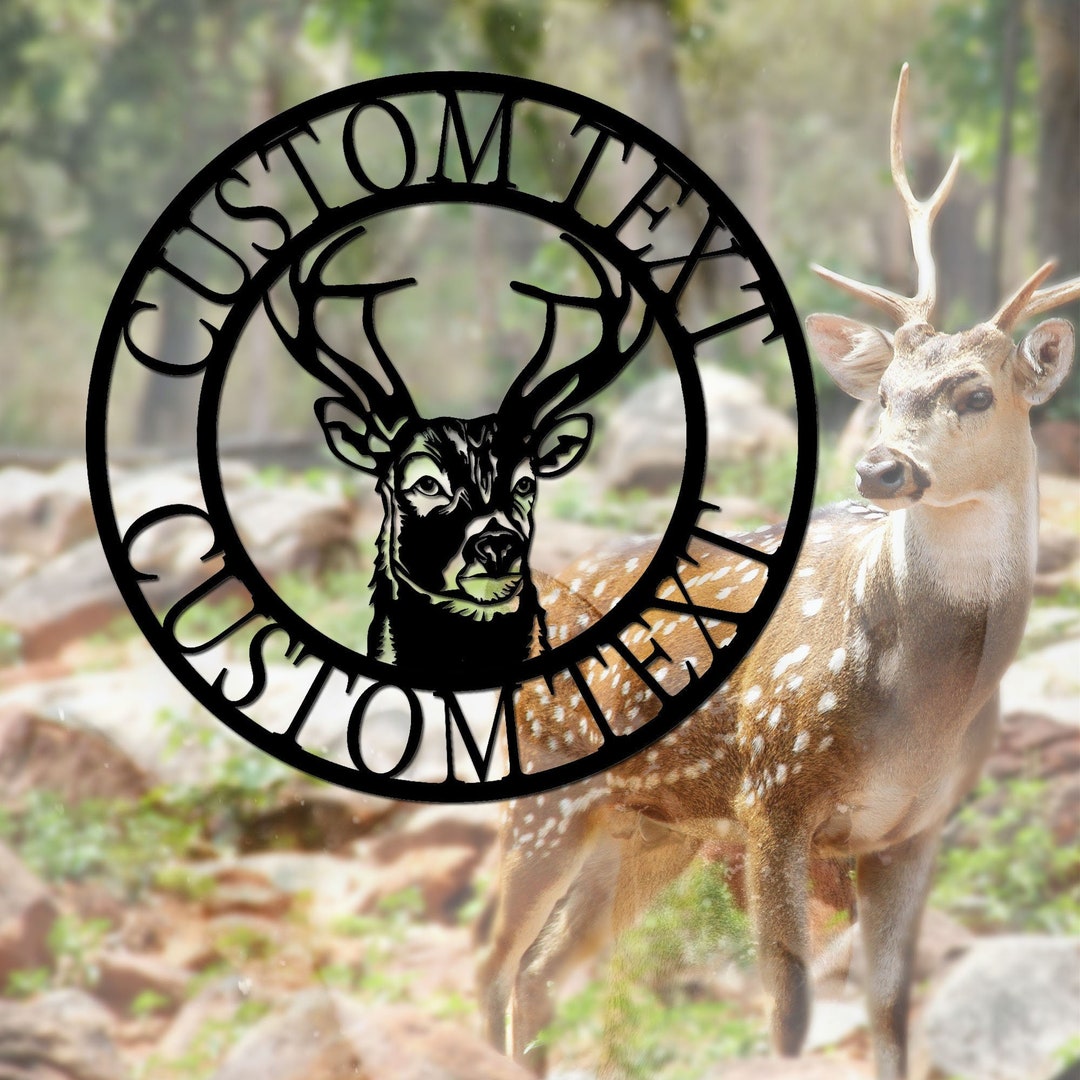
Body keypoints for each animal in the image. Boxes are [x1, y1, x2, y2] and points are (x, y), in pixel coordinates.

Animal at [476, 64, 1079, 1079]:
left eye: (975, 393)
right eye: (885, 393)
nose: (880, 469)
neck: (917, 715)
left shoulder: (916, 828)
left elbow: (887, 1010)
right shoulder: (772, 797)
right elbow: (788, 1013)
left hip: (649, 826)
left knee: (541, 975)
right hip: (552, 789)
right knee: (491, 966)